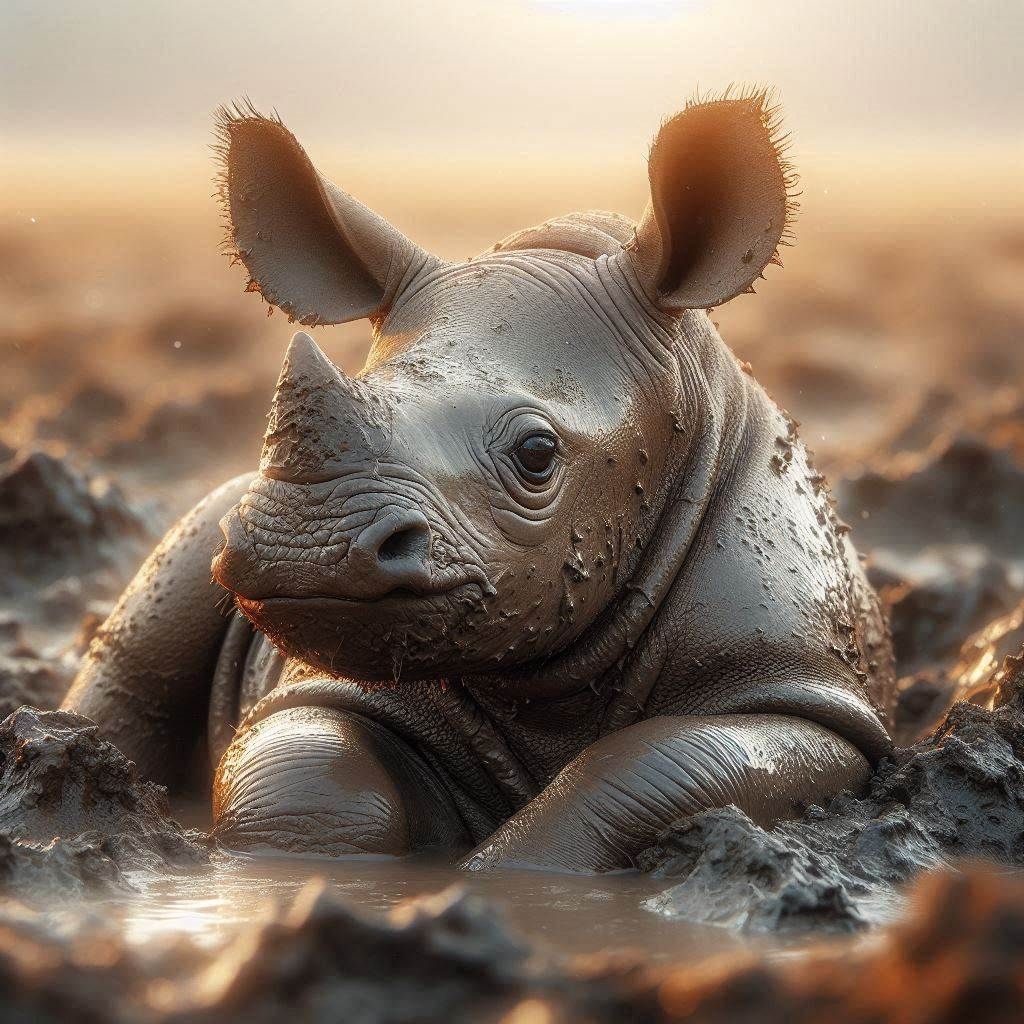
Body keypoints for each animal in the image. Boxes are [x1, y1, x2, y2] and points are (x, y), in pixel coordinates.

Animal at [64, 92, 894, 872]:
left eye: (537, 454)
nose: (304, 546)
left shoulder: (804, 697)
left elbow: (655, 764)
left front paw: (502, 879)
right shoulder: (327, 674)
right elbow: (312, 777)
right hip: (206, 524)